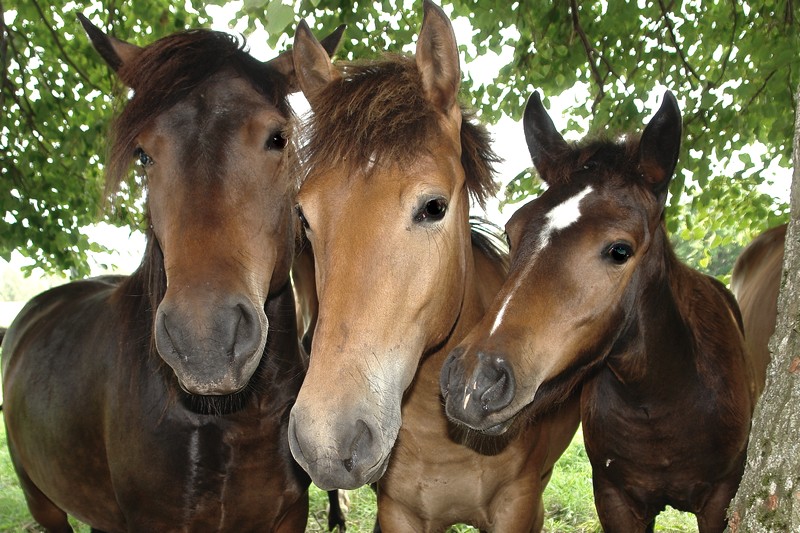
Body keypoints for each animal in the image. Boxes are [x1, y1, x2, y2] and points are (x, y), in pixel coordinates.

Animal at [1, 16, 343, 532]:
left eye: (278, 138)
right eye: (143, 154)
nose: (205, 341)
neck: (237, 418)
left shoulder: (288, 516)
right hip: (42, 499)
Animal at [440, 91, 761, 533]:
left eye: (620, 250)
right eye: (511, 231)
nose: (472, 382)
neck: (658, 403)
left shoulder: (720, 498)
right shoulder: (614, 499)